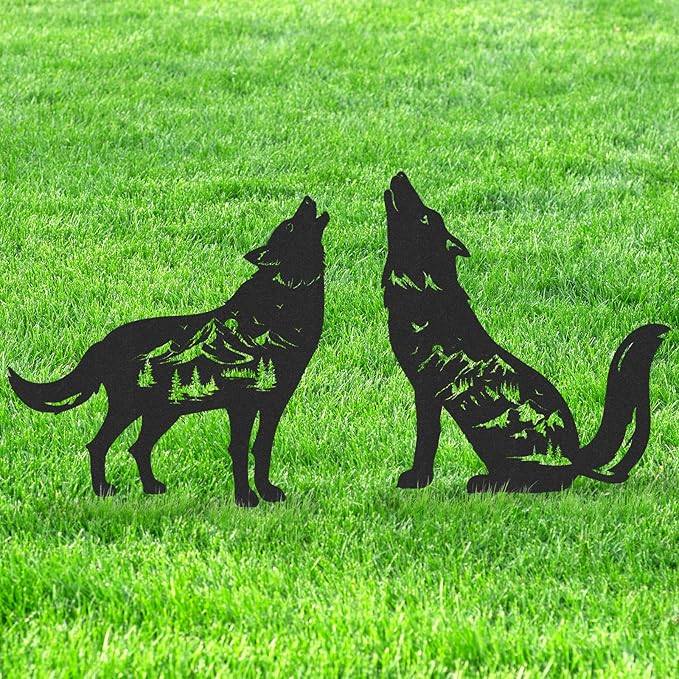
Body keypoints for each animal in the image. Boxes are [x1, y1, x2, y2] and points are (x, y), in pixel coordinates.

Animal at [9, 197, 329, 506]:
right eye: (289, 226)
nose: (308, 199)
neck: (286, 301)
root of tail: (102, 343)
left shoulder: (275, 402)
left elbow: (262, 448)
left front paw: (267, 493)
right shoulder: (243, 404)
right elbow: (239, 449)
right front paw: (245, 499)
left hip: (162, 412)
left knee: (138, 448)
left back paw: (151, 488)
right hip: (131, 408)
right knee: (99, 445)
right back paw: (103, 490)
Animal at [383, 171, 668, 493]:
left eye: (423, 217)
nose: (400, 175)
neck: (424, 286)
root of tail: (576, 456)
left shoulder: (426, 390)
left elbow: (426, 439)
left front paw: (416, 479)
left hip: (500, 435)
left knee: (542, 479)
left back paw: (486, 482)